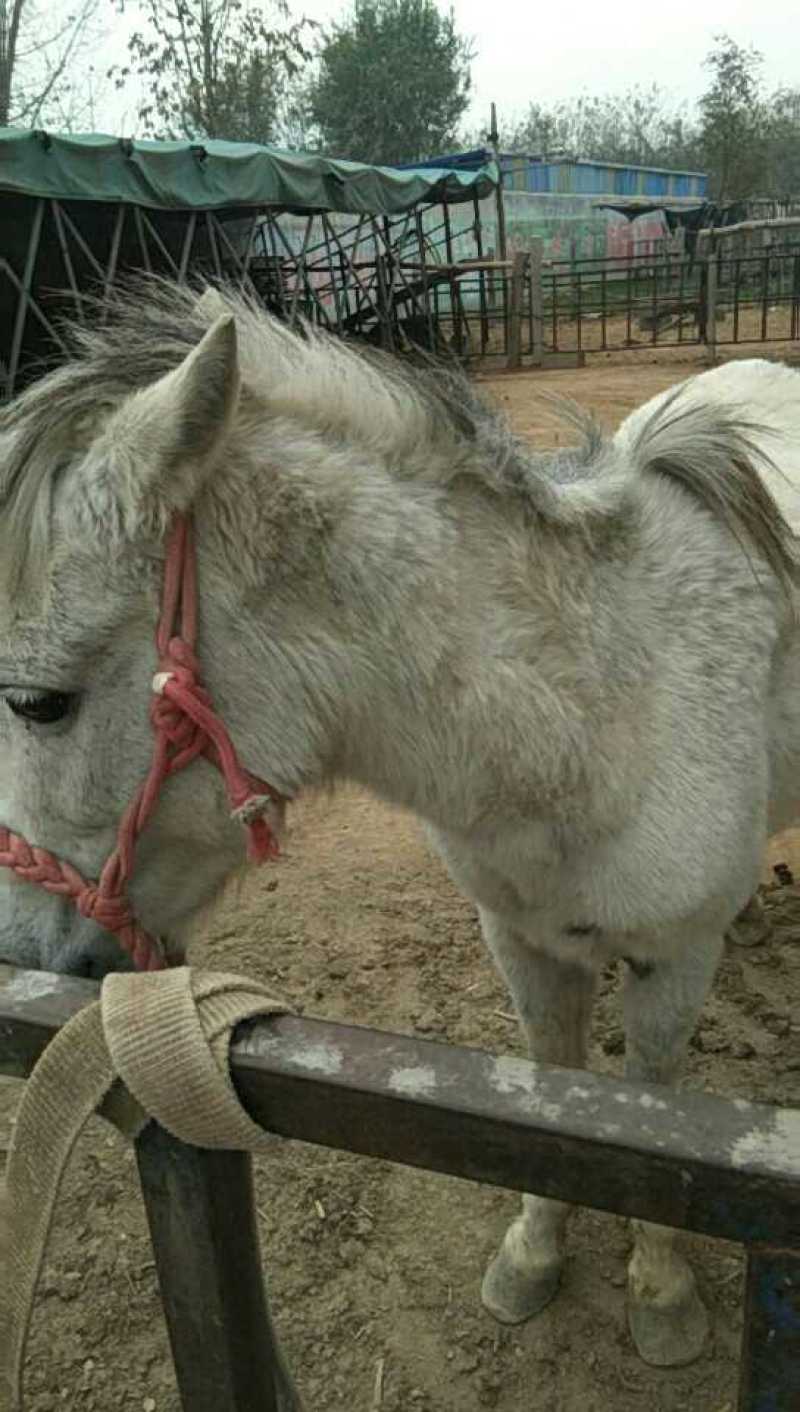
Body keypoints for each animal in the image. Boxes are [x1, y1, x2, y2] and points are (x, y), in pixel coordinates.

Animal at [1, 279, 799, 1371]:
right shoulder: (519, 938)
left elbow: (649, 1096)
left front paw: (660, 1290)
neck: (601, 708)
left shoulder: (672, 961)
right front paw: (534, 1252)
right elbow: (556, 1089)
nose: (19, 952)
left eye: (36, 702)